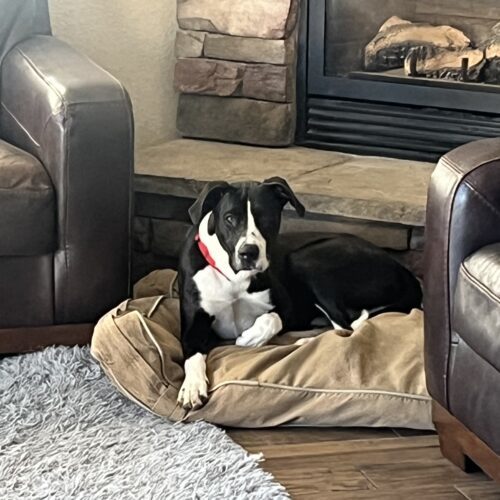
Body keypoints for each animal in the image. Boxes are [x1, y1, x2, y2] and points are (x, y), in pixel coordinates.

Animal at [177, 178, 422, 408]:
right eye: (229, 218)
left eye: (266, 217)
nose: (249, 253)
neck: (234, 278)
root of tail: (405, 272)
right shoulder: (193, 329)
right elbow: (193, 356)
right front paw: (192, 387)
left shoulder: (288, 307)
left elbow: (271, 319)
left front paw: (251, 337)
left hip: (307, 260)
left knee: (345, 327)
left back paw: (301, 343)